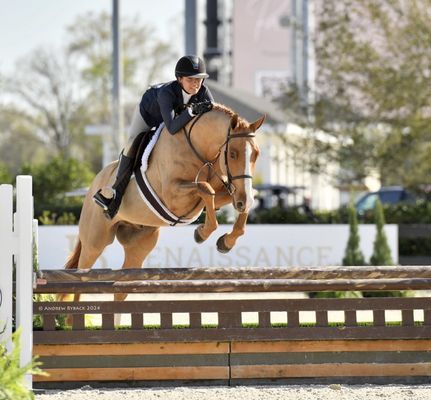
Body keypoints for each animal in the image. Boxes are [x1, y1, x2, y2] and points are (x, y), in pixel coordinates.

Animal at [65, 104, 264, 304]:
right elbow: (206, 188)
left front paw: (226, 241)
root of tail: (94, 182)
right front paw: (202, 233)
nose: (244, 201)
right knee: (80, 280)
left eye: (256, 154)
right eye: (232, 154)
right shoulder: (172, 196)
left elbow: (231, 198)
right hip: (94, 243)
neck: (198, 149)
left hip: (138, 246)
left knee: (120, 288)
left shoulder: (229, 191)